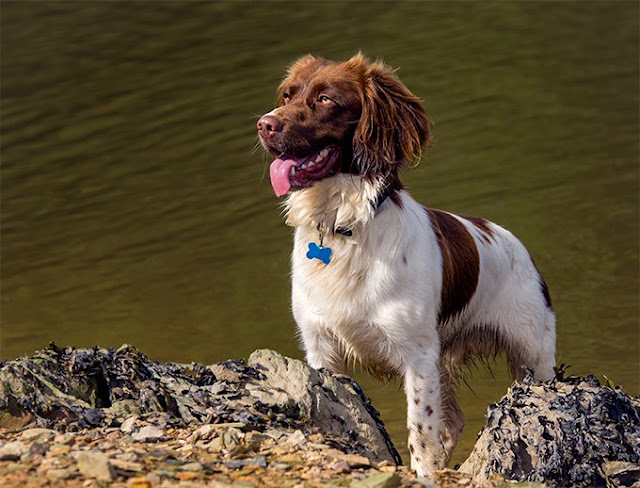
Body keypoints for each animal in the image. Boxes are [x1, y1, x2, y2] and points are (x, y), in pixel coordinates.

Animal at [255, 53, 556, 476]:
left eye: (325, 99)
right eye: (287, 94)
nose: (264, 124)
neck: (344, 228)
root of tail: (511, 240)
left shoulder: (418, 356)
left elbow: (421, 430)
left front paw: (424, 475)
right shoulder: (321, 349)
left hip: (535, 354)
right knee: (453, 421)